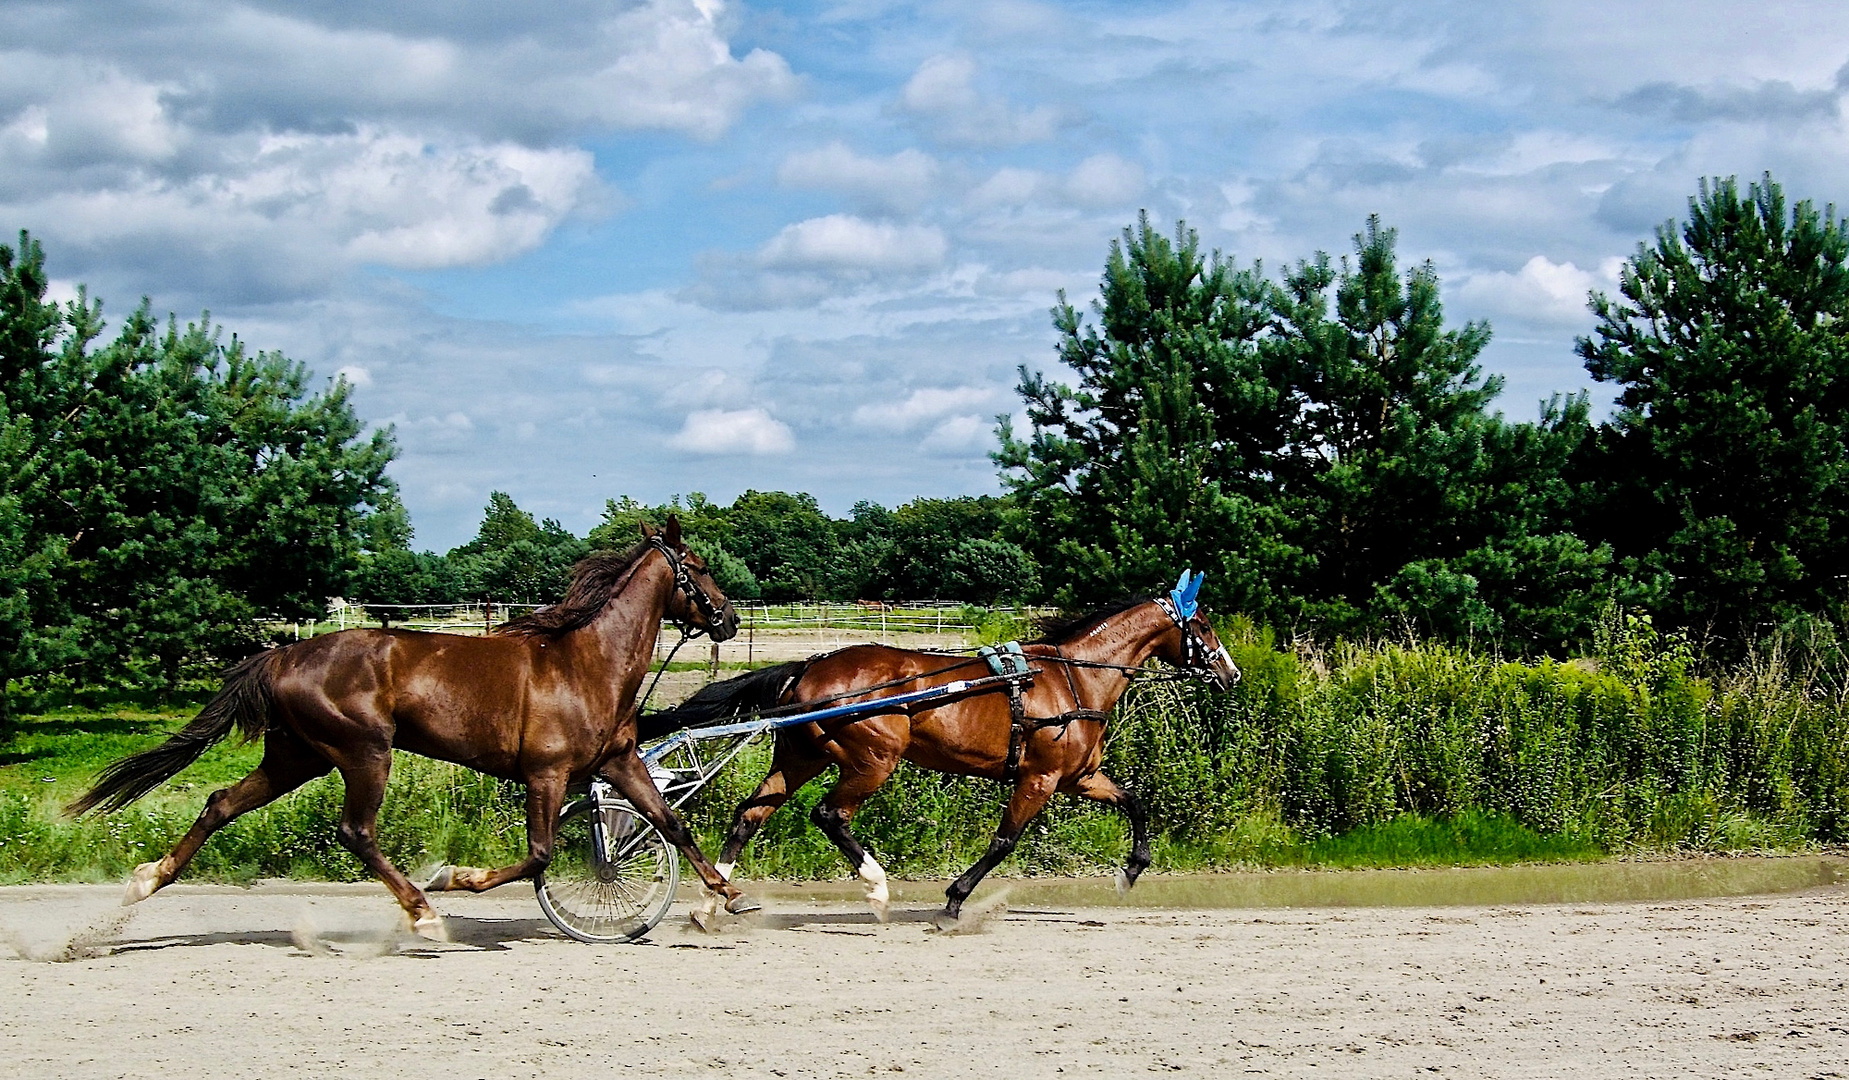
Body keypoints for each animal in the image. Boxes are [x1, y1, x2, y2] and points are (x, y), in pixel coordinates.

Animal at [68, 514, 754, 935]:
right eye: (697, 564)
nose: (729, 618)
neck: (585, 661)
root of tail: (284, 654)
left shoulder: (616, 760)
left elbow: (670, 823)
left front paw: (725, 893)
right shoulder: (547, 773)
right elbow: (539, 854)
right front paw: (457, 878)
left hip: (296, 756)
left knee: (220, 802)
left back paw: (147, 879)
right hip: (363, 751)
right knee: (356, 831)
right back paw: (422, 910)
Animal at [650, 569, 1242, 924]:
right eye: (1204, 624)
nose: (1231, 673)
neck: (1072, 679)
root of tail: (809, 669)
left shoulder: (1079, 777)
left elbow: (1136, 803)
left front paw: (1132, 870)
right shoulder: (1040, 778)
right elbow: (1003, 842)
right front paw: (955, 899)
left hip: (801, 757)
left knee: (750, 814)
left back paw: (713, 901)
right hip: (873, 759)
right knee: (830, 814)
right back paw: (876, 887)